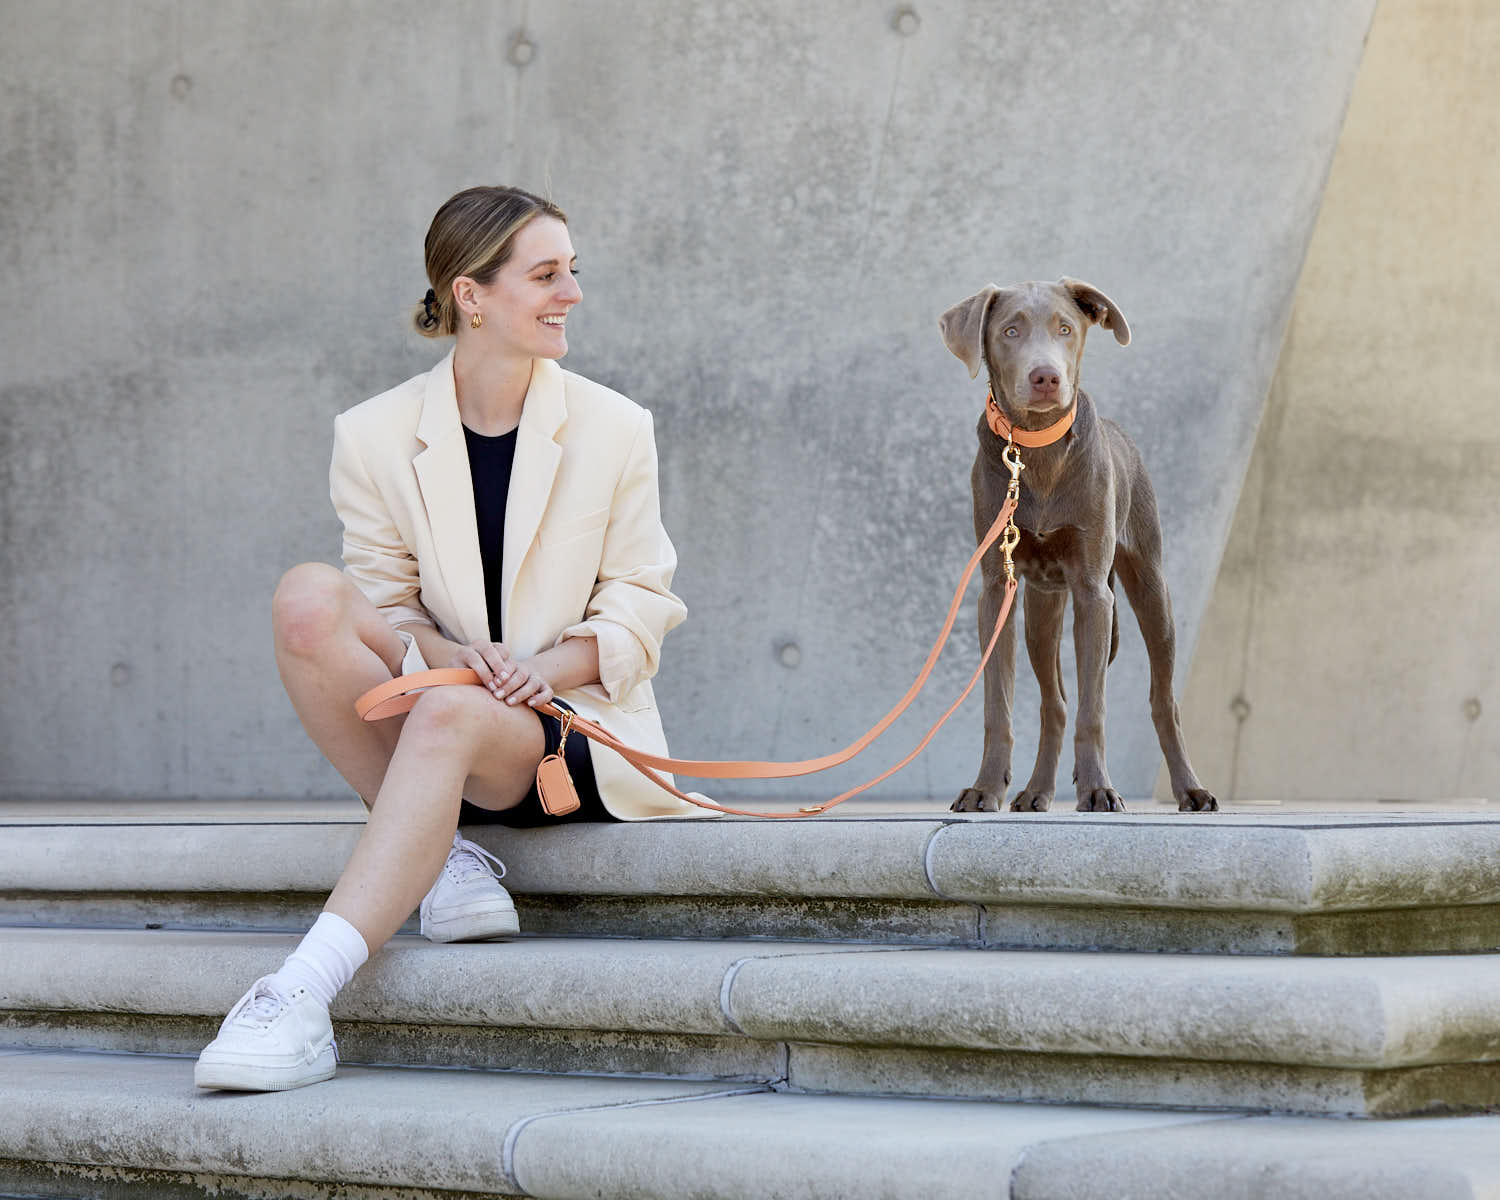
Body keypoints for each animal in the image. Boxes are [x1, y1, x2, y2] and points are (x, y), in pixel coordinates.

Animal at [942, 276, 1212, 810]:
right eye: (1010, 331)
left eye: (1065, 329)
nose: (1046, 377)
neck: (1036, 448)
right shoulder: (996, 592)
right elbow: (998, 707)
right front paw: (986, 787)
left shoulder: (1093, 592)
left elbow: (1095, 708)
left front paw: (1098, 789)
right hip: (1040, 614)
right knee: (1055, 703)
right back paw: (1035, 792)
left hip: (1151, 591)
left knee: (1163, 701)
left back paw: (1190, 789)